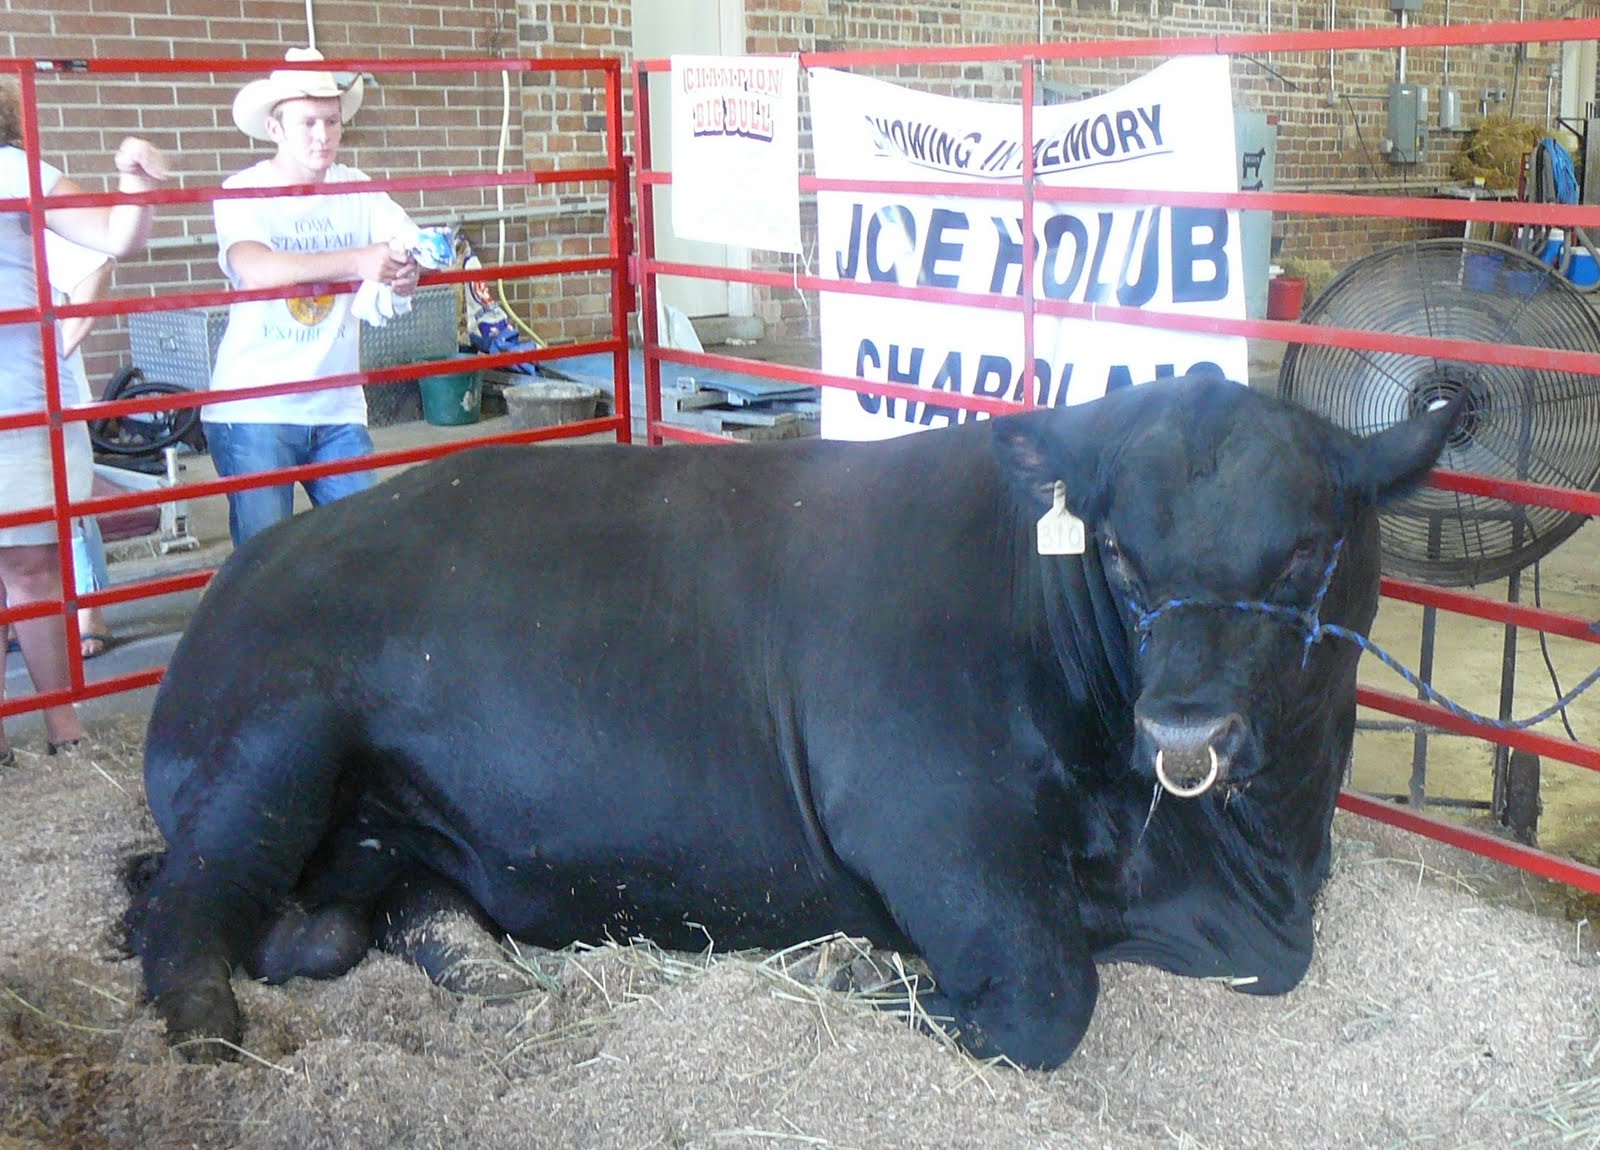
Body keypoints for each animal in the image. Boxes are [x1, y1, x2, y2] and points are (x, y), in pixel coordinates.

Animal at [125, 373, 1459, 1069]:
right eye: (1124, 553)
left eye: (1303, 555)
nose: (1182, 731)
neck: (1251, 857)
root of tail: (265, 553)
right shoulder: (923, 813)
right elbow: (1043, 996)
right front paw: (857, 970)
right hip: (274, 740)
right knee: (184, 904)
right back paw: (200, 1020)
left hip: (375, 832)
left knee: (340, 911)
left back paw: (474, 964)